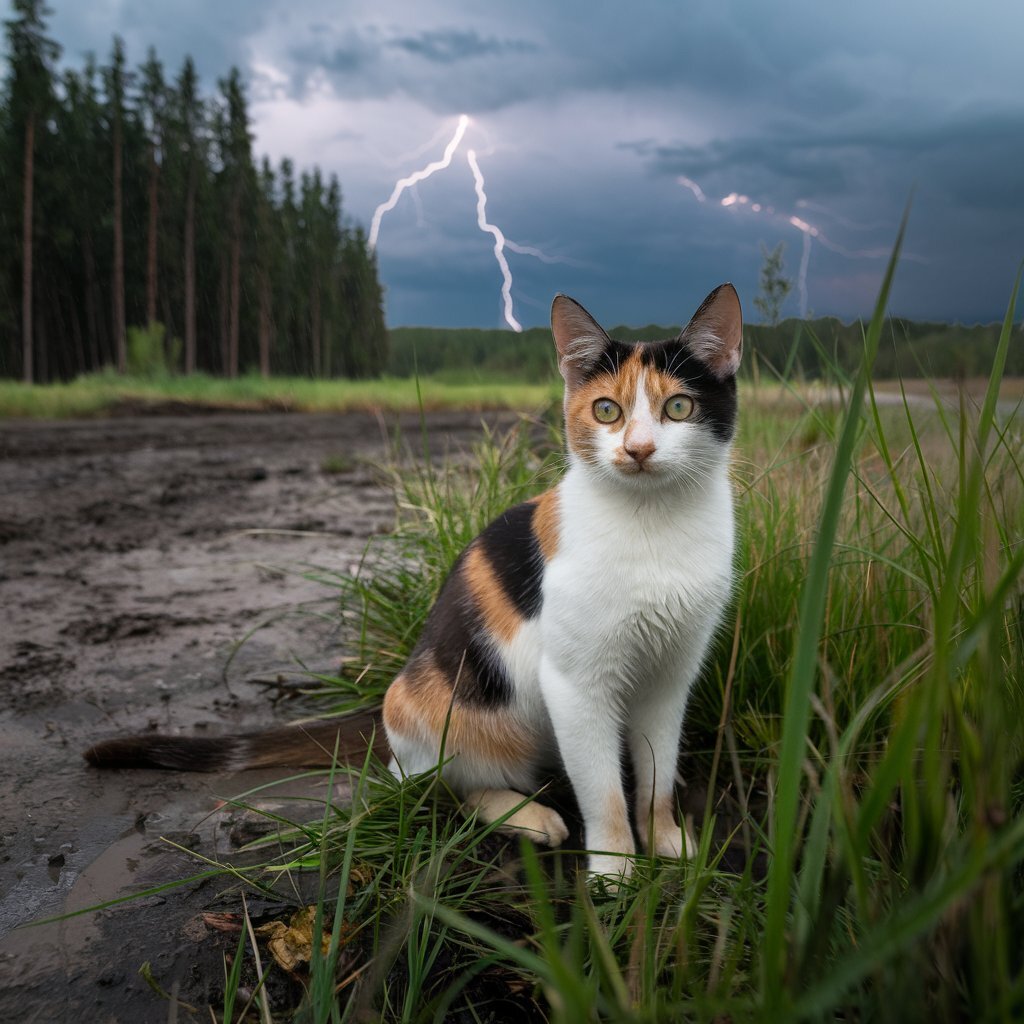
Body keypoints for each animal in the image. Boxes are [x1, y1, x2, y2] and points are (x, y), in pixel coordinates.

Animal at [83, 282, 741, 880]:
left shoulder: (670, 676)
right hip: (440, 715)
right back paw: (524, 816)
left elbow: (656, 775)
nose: (637, 449)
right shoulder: (577, 686)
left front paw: (666, 840)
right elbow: (602, 791)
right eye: (607, 410)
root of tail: (386, 708)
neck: (652, 525)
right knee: (429, 786)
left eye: (678, 408)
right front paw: (613, 873)